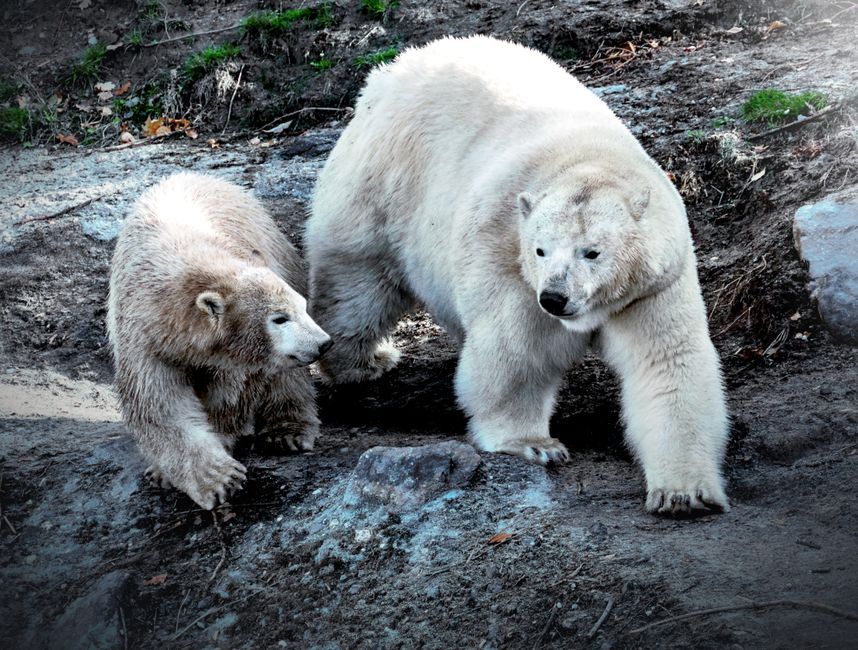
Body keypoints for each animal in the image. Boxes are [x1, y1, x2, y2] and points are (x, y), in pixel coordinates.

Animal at [108, 172, 332, 510]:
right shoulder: (144, 338)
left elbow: (231, 392)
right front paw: (207, 478)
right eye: (279, 318)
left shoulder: (233, 356)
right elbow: (160, 407)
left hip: (278, 256)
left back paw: (287, 432)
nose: (323, 343)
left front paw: (222, 456)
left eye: (302, 307)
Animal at [305, 36, 729, 515]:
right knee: (358, 281)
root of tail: (392, 70)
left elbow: (668, 363)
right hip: (384, 181)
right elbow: (517, 349)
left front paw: (684, 494)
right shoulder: (508, 254)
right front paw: (535, 444)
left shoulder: (653, 283)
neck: (587, 158)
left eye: (593, 252)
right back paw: (362, 361)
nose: (556, 298)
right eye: (540, 249)